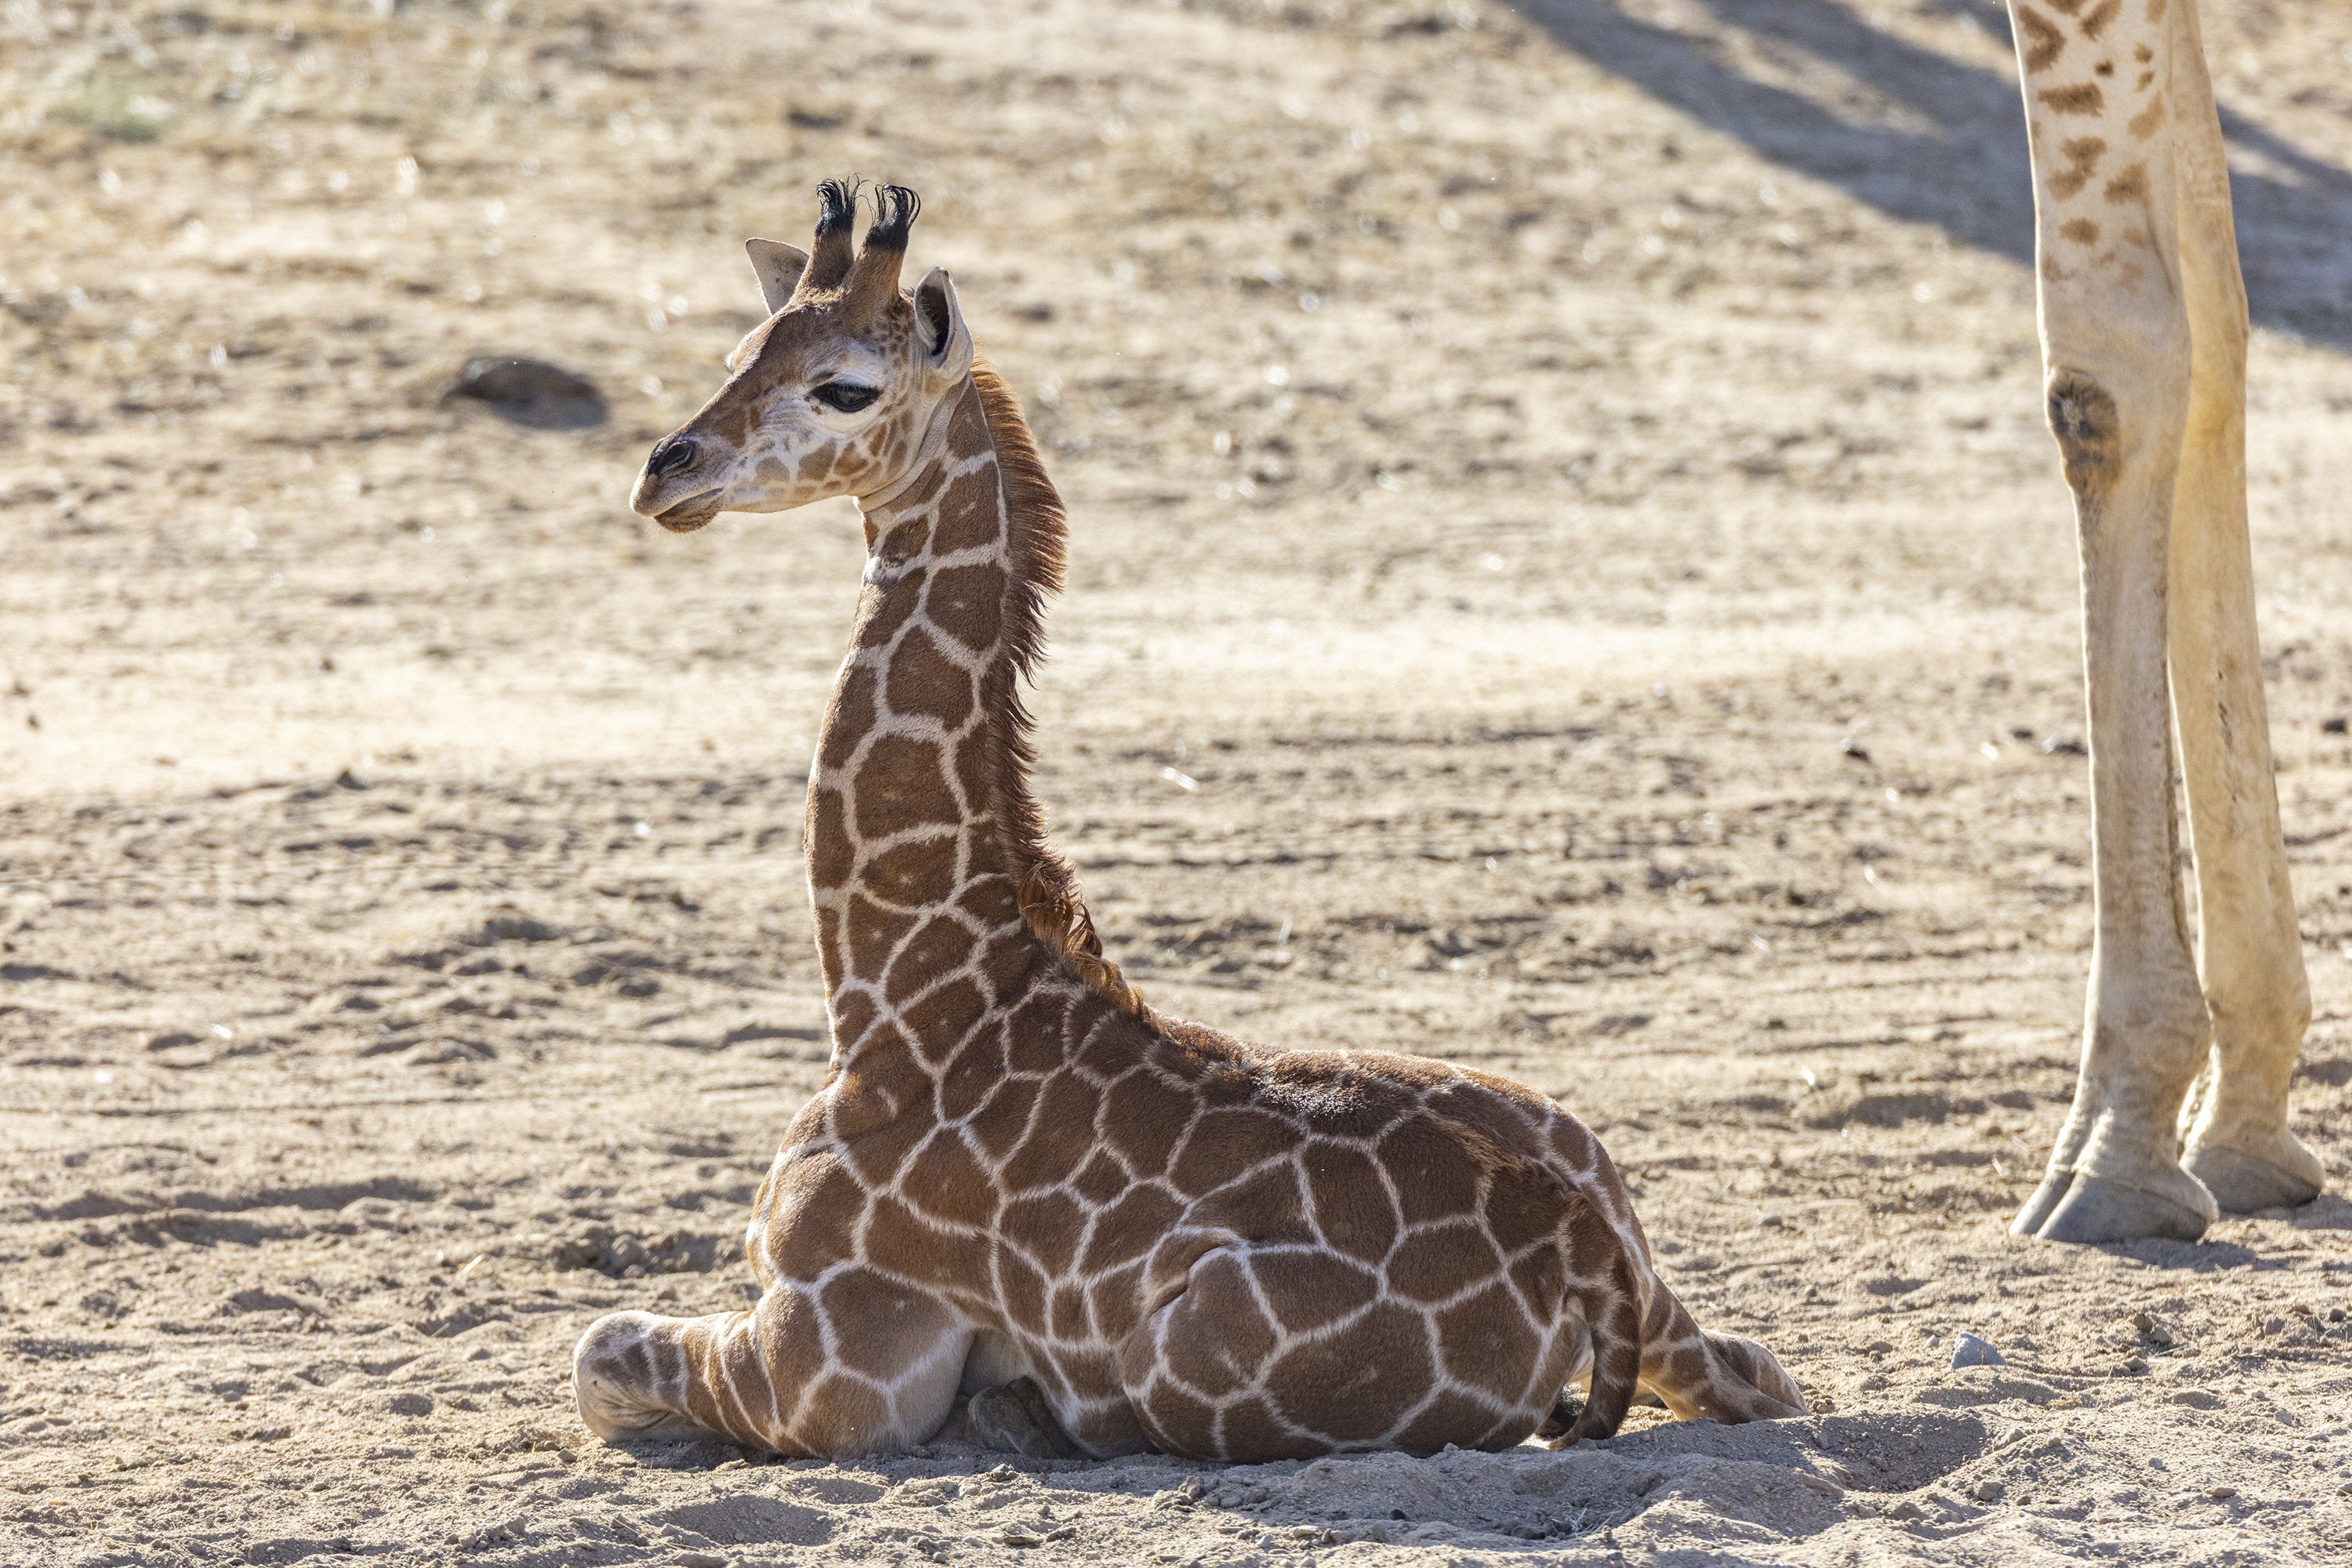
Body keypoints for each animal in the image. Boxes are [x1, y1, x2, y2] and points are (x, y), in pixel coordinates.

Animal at [575, 181, 1805, 1461]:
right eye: (740, 354)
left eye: (846, 388)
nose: (665, 472)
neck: (899, 1001)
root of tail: (1578, 1249)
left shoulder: (831, 1365)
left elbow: (595, 1353)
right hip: (1594, 1177)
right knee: (1758, 1371)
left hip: (1183, 1363)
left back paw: (1025, 1408)